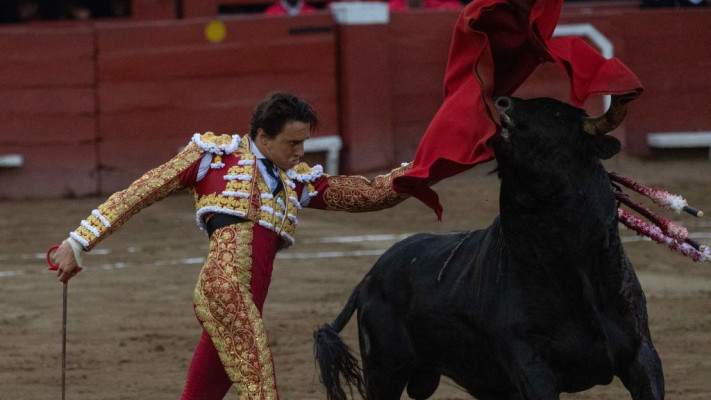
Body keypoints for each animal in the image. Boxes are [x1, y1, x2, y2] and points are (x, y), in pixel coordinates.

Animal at [314, 97, 664, 400]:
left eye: (557, 114)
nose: (501, 103)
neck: (570, 267)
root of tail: (369, 278)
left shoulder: (641, 356)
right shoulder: (529, 365)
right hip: (385, 372)